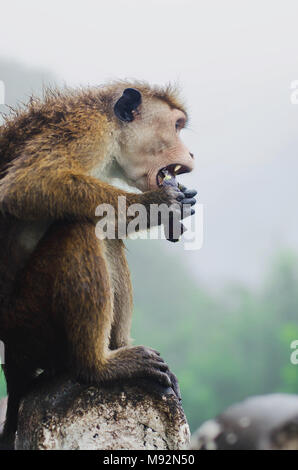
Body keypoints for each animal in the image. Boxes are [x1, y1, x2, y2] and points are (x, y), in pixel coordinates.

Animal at [0, 81, 197, 448]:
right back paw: (97, 365)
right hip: (28, 321)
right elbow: (27, 185)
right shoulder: (86, 132)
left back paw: (119, 348)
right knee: (80, 227)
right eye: (176, 126)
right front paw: (159, 204)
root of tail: (12, 358)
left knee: (103, 230)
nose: (191, 154)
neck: (111, 124)